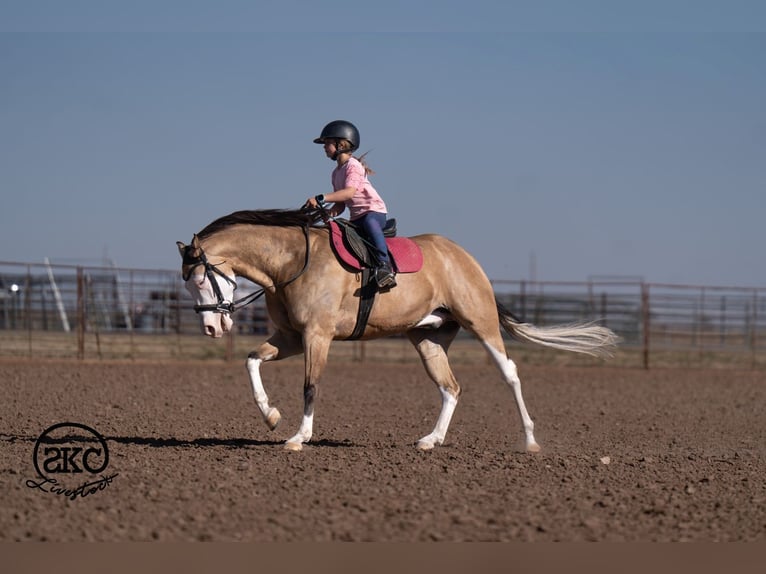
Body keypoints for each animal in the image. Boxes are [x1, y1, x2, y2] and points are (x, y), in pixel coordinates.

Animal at [177, 208, 619, 452]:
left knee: (509, 374)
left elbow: (310, 386)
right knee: (450, 388)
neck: (292, 262)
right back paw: (430, 440)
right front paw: (270, 416)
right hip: (428, 338)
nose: (212, 327)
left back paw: (529, 441)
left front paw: (299, 437)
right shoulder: (290, 338)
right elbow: (251, 362)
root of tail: (464, 257)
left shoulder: (317, 336)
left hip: (481, 324)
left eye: (201, 279)